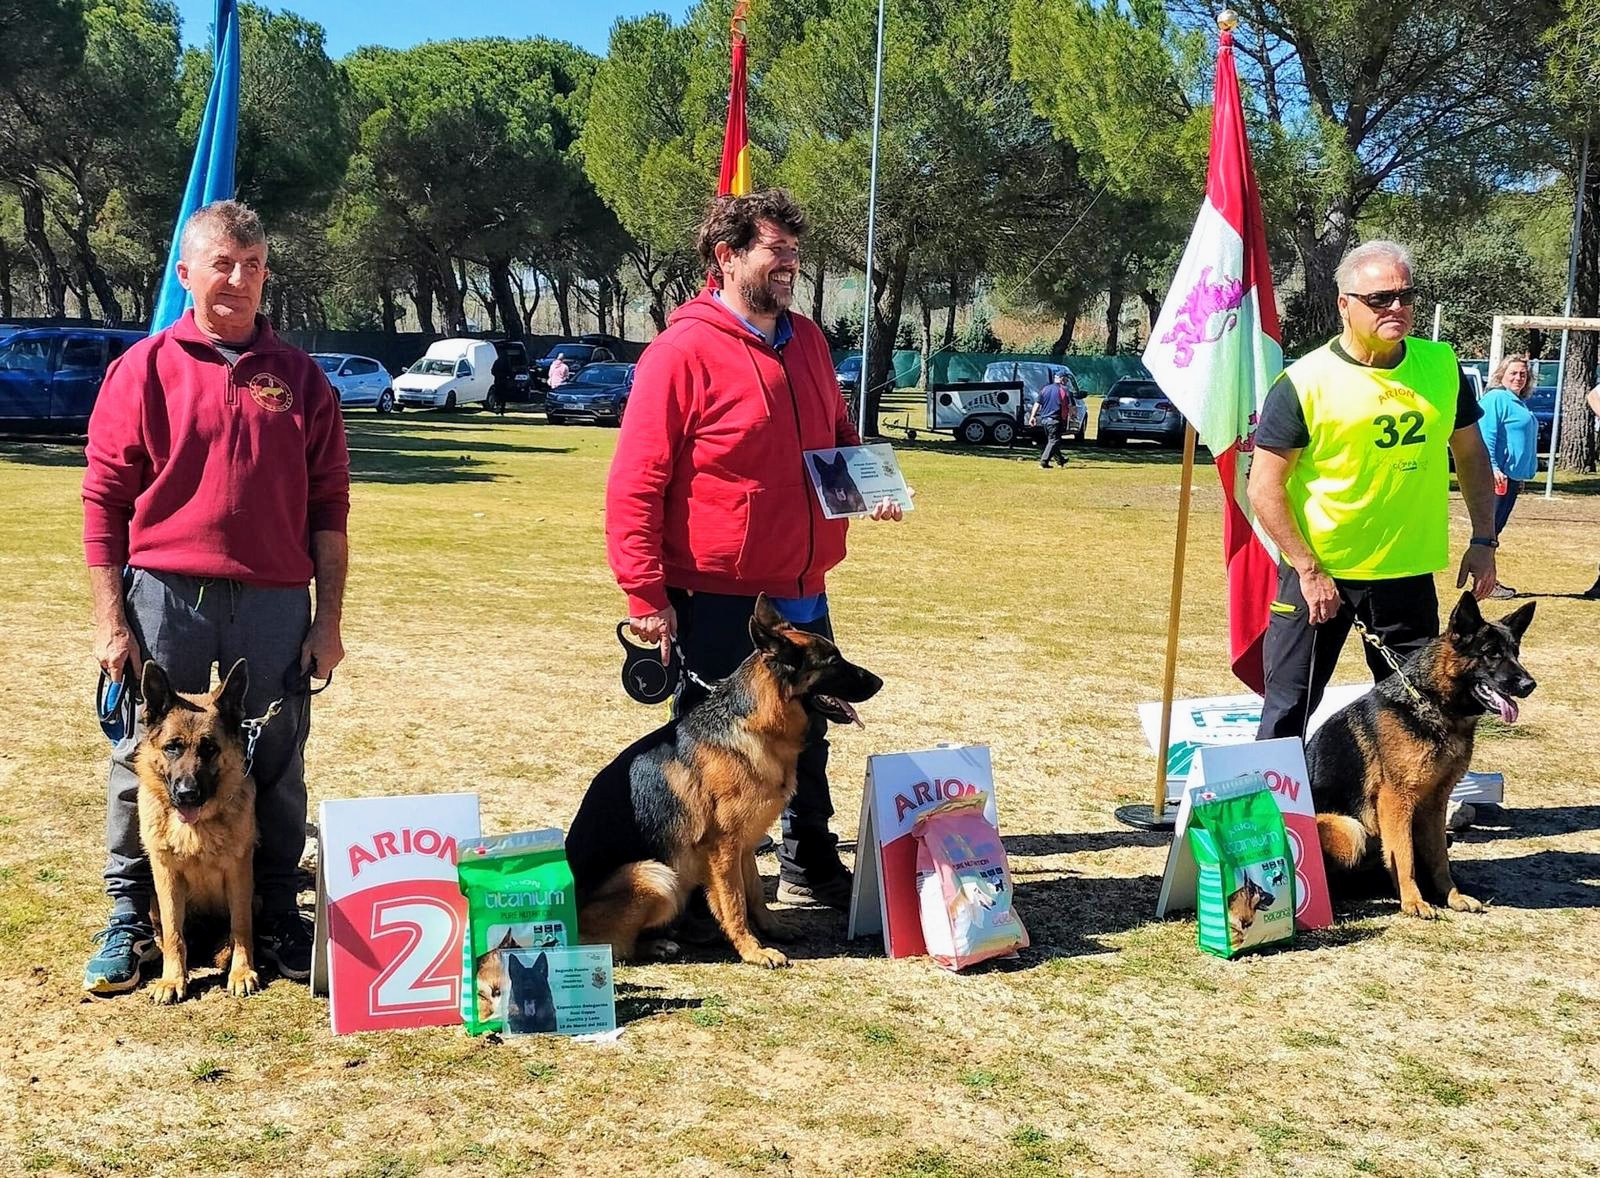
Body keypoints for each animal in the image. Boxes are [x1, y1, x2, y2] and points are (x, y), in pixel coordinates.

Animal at [136, 659, 259, 998]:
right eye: (172, 748)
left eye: (210, 748)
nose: (187, 794)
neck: (197, 827)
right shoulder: (166, 876)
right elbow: (174, 933)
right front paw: (172, 979)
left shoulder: (239, 873)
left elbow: (241, 927)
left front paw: (241, 972)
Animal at [566, 592, 889, 973]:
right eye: (833, 660)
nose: (880, 682)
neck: (754, 726)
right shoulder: (723, 850)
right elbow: (735, 904)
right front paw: (752, 950)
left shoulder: (745, 844)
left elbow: (755, 895)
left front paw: (773, 929)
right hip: (656, 876)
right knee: (615, 948)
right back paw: (656, 945)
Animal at [1312, 598, 1536, 921]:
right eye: (1491, 653)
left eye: (1515, 653)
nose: (1530, 684)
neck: (1433, 704)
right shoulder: (1396, 800)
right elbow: (1404, 855)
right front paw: (1413, 901)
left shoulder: (1435, 802)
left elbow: (1439, 856)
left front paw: (1452, 896)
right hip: (1349, 829)